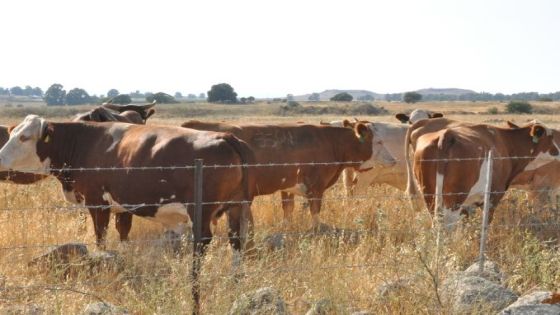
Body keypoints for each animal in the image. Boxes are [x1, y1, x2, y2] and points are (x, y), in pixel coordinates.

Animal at [0, 114, 256, 314]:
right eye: (13, 134)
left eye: (24, 137)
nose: (0, 159)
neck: (83, 144)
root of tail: (226, 137)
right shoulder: (124, 206)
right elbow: (123, 235)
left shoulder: (98, 203)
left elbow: (101, 238)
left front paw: (101, 264)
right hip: (237, 205)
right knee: (236, 240)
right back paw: (235, 277)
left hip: (201, 209)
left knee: (203, 241)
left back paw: (194, 276)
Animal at [178, 119, 394, 228]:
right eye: (378, 141)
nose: (394, 160)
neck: (331, 142)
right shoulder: (316, 187)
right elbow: (315, 213)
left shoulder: (288, 186)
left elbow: (288, 211)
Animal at [404, 117, 560, 228]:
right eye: (550, 137)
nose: (559, 151)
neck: (506, 143)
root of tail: (446, 135)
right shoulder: (493, 196)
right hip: (453, 199)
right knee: (447, 225)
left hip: (429, 195)